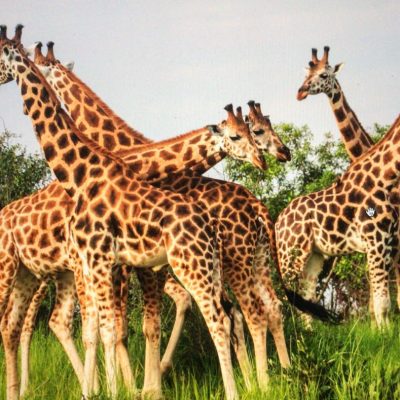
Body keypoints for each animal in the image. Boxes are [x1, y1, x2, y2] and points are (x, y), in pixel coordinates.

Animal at [0, 25, 276, 400]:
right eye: (249, 131)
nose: (273, 154)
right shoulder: (113, 264)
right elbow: (118, 328)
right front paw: (130, 387)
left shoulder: (115, 263)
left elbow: (124, 327)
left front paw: (132, 388)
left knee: (241, 314)